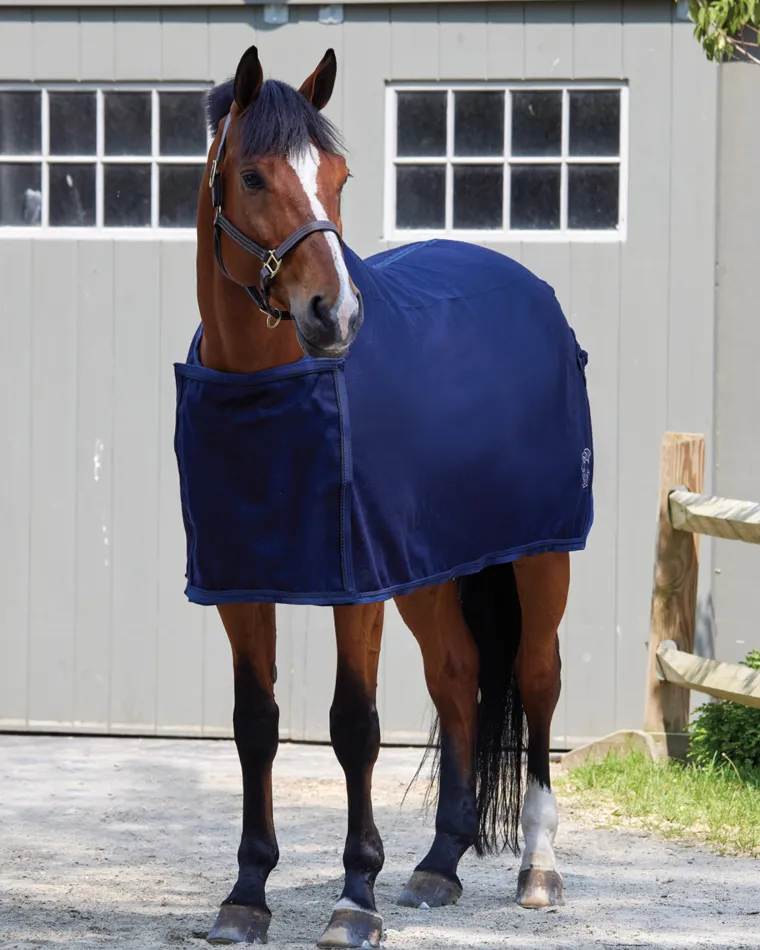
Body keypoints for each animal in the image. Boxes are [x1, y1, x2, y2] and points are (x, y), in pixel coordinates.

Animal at [174, 45, 593, 948]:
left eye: (338, 175)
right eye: (252, 177)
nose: (335, 314)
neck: (267, 387)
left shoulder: (354, 587)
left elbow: (354, 728)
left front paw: (353, 899)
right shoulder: (241, 586)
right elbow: (255, 726)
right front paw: (246, 895)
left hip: (542, 555)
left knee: (539, 677)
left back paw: (539, 868)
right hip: (430, 572)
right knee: (458, 674)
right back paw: (439, 863)